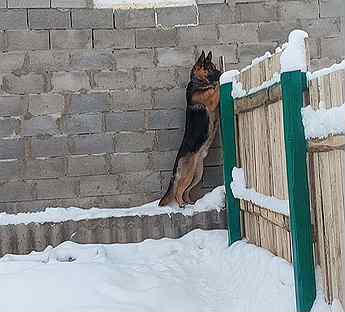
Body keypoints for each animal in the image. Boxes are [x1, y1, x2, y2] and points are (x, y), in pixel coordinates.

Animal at [158, 50, 220, 207]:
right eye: (210, 68)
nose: (221, 72)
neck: (198, 82)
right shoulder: (211, 99)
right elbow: (215, 88)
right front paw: (218, 82)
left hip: (197, 173)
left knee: (186, 190)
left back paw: (190, 202)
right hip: (188, 173)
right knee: (178, 190)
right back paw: (181, 204)